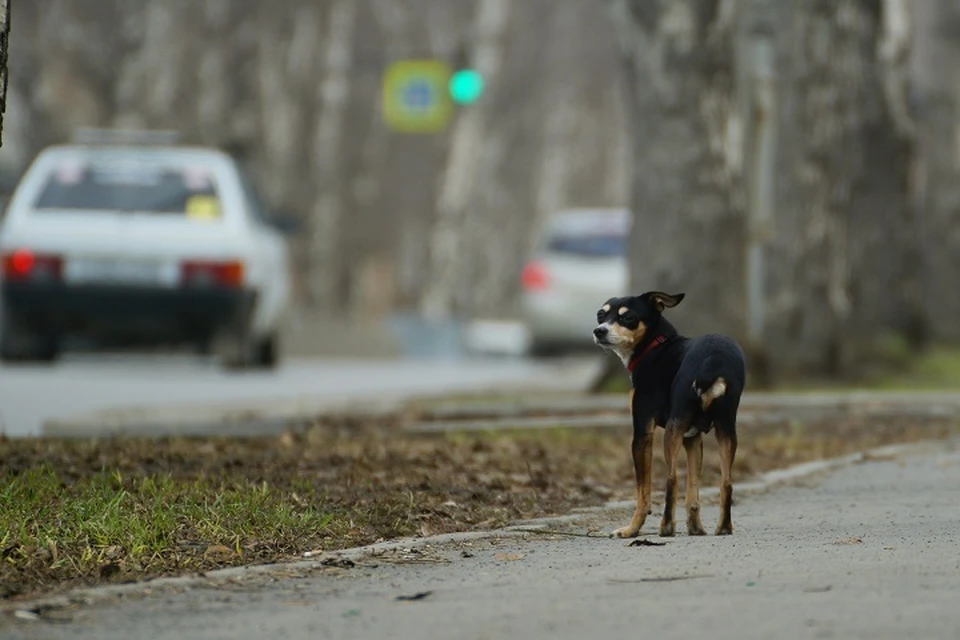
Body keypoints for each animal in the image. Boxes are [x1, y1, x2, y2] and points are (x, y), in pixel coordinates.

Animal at [592, 292, 752, 536]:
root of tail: (713, 361)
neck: (655, 346)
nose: (599, 330)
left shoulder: (643, 433)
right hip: (726, 430)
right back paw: (723, 527)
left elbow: (643, 492)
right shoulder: (693, 438)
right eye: (601, 315)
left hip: (671, 431)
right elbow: (693, 492)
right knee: (726, 482)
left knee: (671, 479)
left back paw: (666, 527)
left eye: (628, 317)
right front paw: (696, 528)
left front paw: (631, 529)